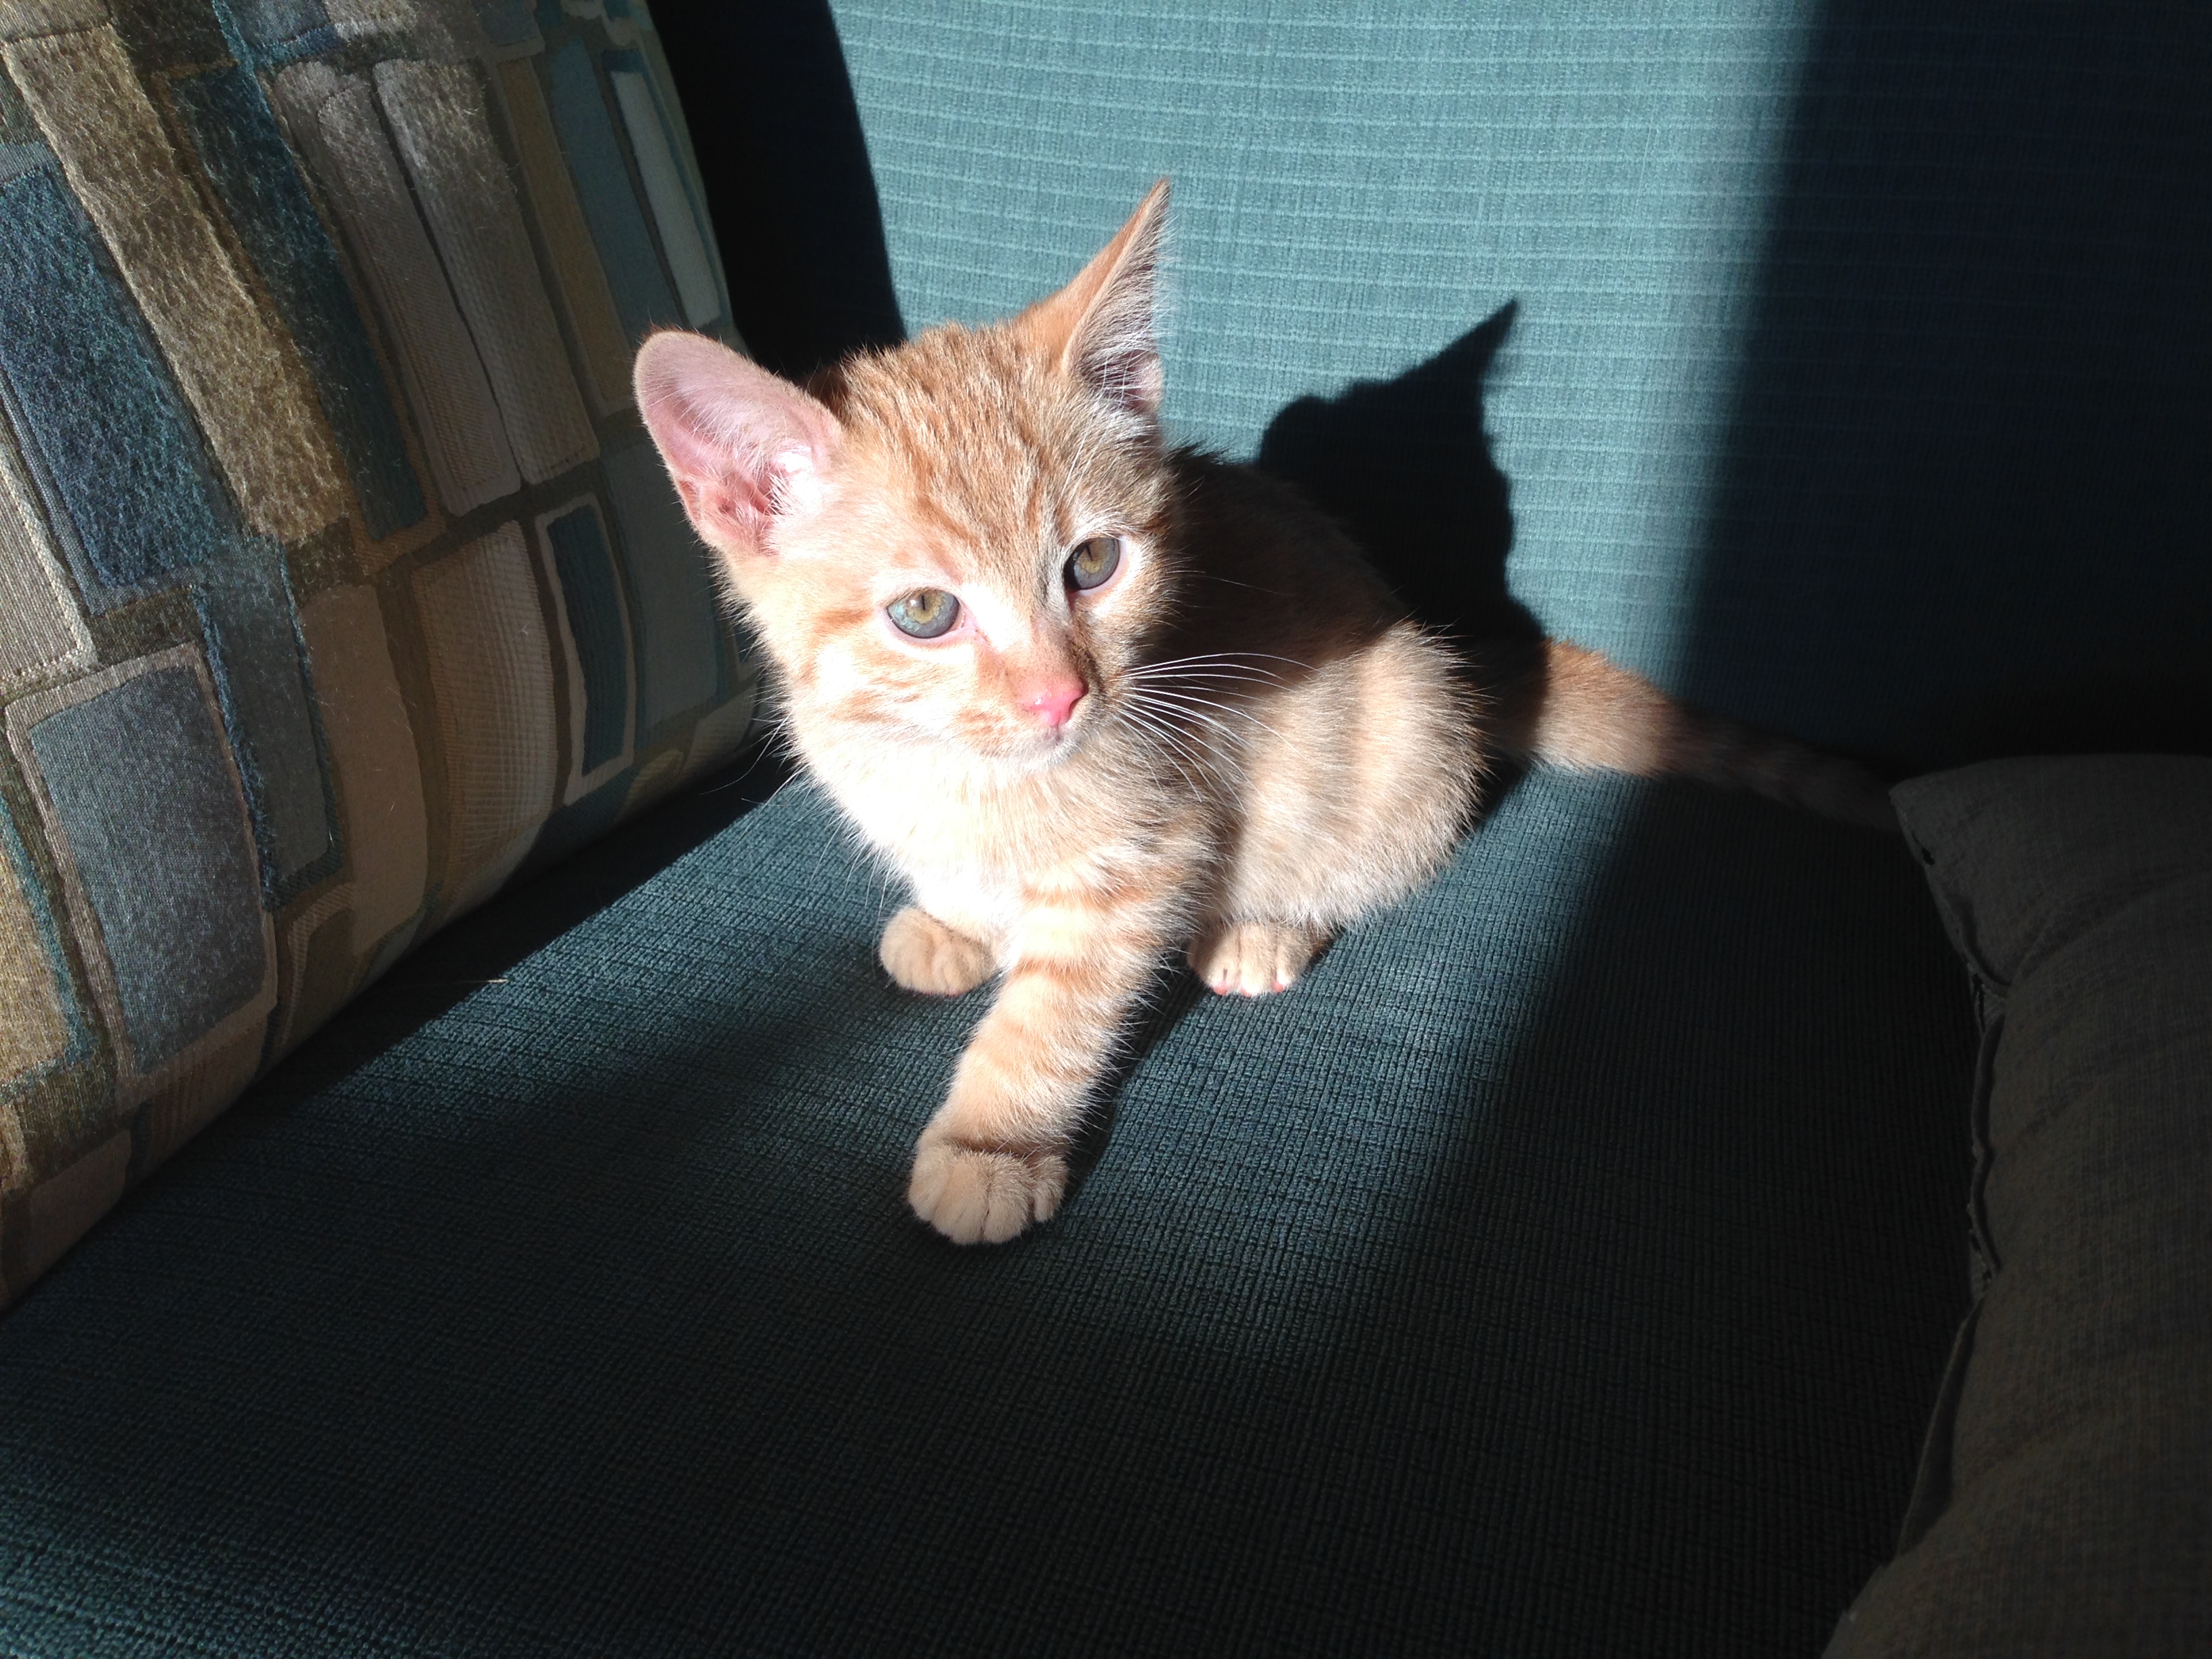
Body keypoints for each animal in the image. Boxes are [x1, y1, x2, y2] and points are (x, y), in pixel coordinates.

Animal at [634, 180, 1889, 1247]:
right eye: (925, 612)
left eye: (1093, 564)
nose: (1062, 694)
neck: (948, 769)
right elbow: (958, 882)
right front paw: (951, 918)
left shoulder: (1149, 843)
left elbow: (1053, 1014)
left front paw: (991, 1144)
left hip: (1397, 729)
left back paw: (1262, 927)